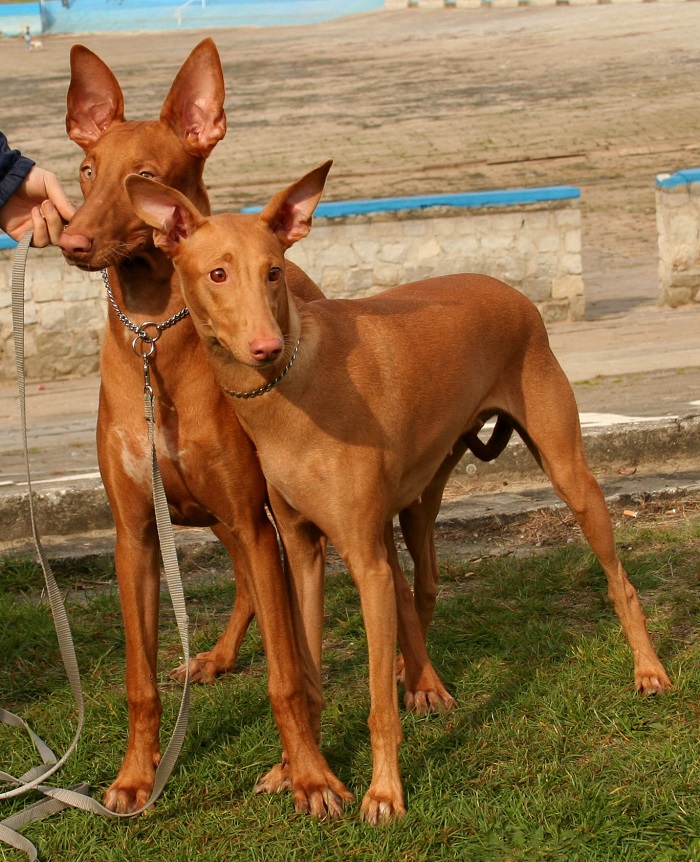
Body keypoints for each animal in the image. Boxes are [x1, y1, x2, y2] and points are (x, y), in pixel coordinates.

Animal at [126, 159, 672, 828]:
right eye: (217, 274)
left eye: (274, 271)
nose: (265, 348)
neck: (293, 388)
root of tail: (511, 291)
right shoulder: (302, 551)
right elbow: (307, 675)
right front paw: (300, 773)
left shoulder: (364, 560)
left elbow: (376, 705)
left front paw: (383, 792)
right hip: (416, 503)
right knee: (425, 587)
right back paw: (418, 677)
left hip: (568, 474)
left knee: (618, 579)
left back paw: (647, 669)